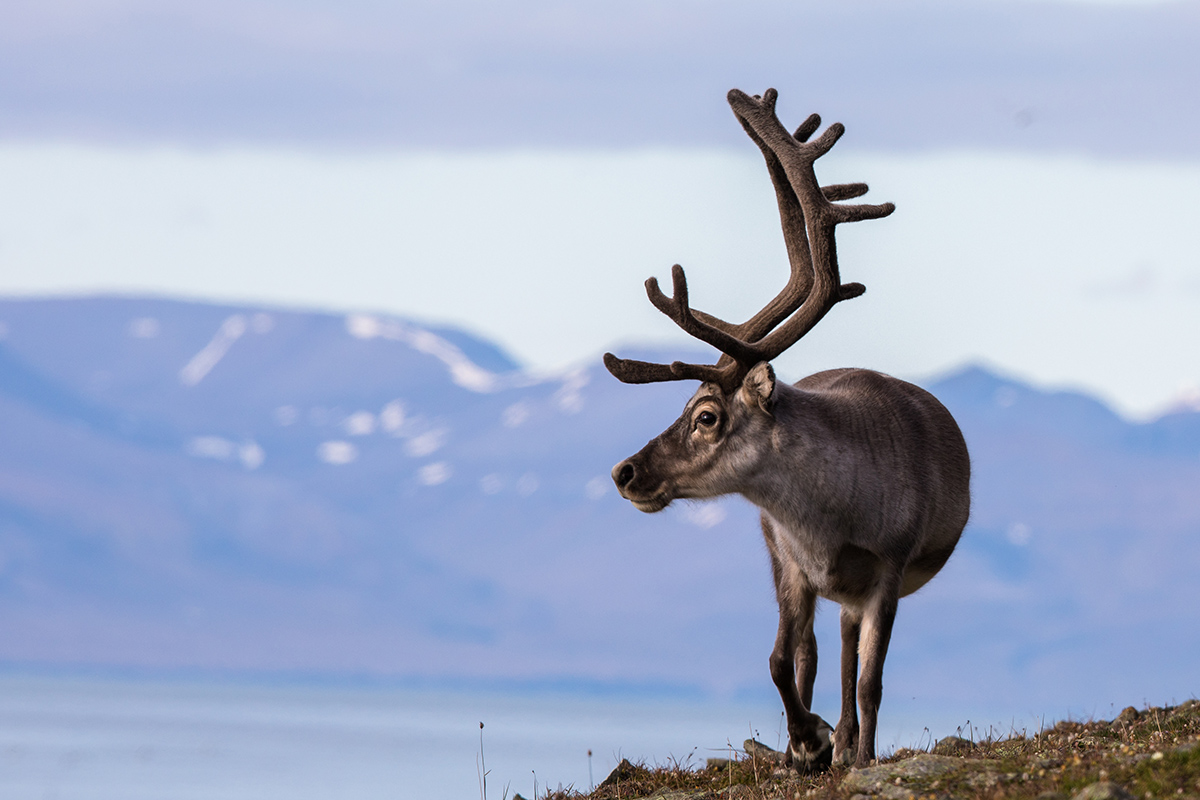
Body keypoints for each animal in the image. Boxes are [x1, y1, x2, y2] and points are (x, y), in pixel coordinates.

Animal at [604, 88, 971, 771]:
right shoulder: (792, 563)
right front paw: (806, 739)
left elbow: (871, 680)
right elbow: (780, 660)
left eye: (706, 415)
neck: (833, 516)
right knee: (813, 654)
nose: (625, 471)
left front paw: (853, 753)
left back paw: (850, 742)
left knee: (853, 658)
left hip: (859, 591)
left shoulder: (888, 568)